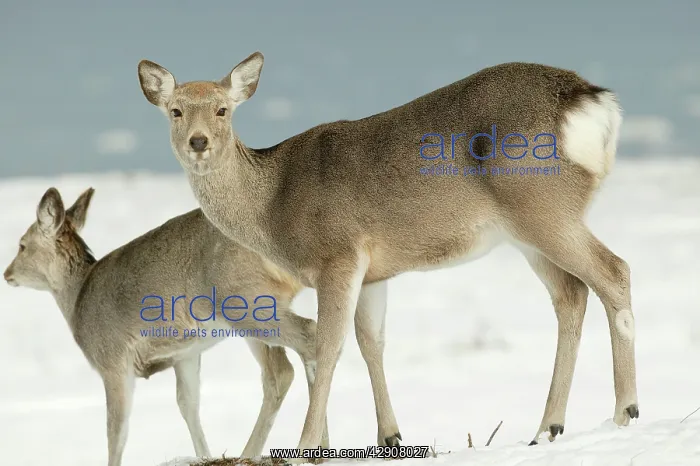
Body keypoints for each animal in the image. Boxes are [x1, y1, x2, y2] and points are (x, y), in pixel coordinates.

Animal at [2, 187, 331, 466]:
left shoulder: (113, 359)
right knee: (289, 363)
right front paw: (204, 455)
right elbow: (188, 405)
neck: (77, 300)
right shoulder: (185, 354)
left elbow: (116, 430)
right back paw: (317, 449)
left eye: (22, 245)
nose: (7, 273)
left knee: (300, 347)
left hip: (246, 302)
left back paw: (274, 450)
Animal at [137, 52, 639, 459]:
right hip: (528, 232)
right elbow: (370, 343)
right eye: (175, 110)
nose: (198, 141)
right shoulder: (374, 272)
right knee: (571, 294)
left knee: (614, 271)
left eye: (223, 109)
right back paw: (547, 428)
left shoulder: (337, 254)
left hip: (543, 208)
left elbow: (329, 344)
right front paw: (390, 438)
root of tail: (593, 102)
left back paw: (624, 411)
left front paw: (306, 446)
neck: (272, 205)